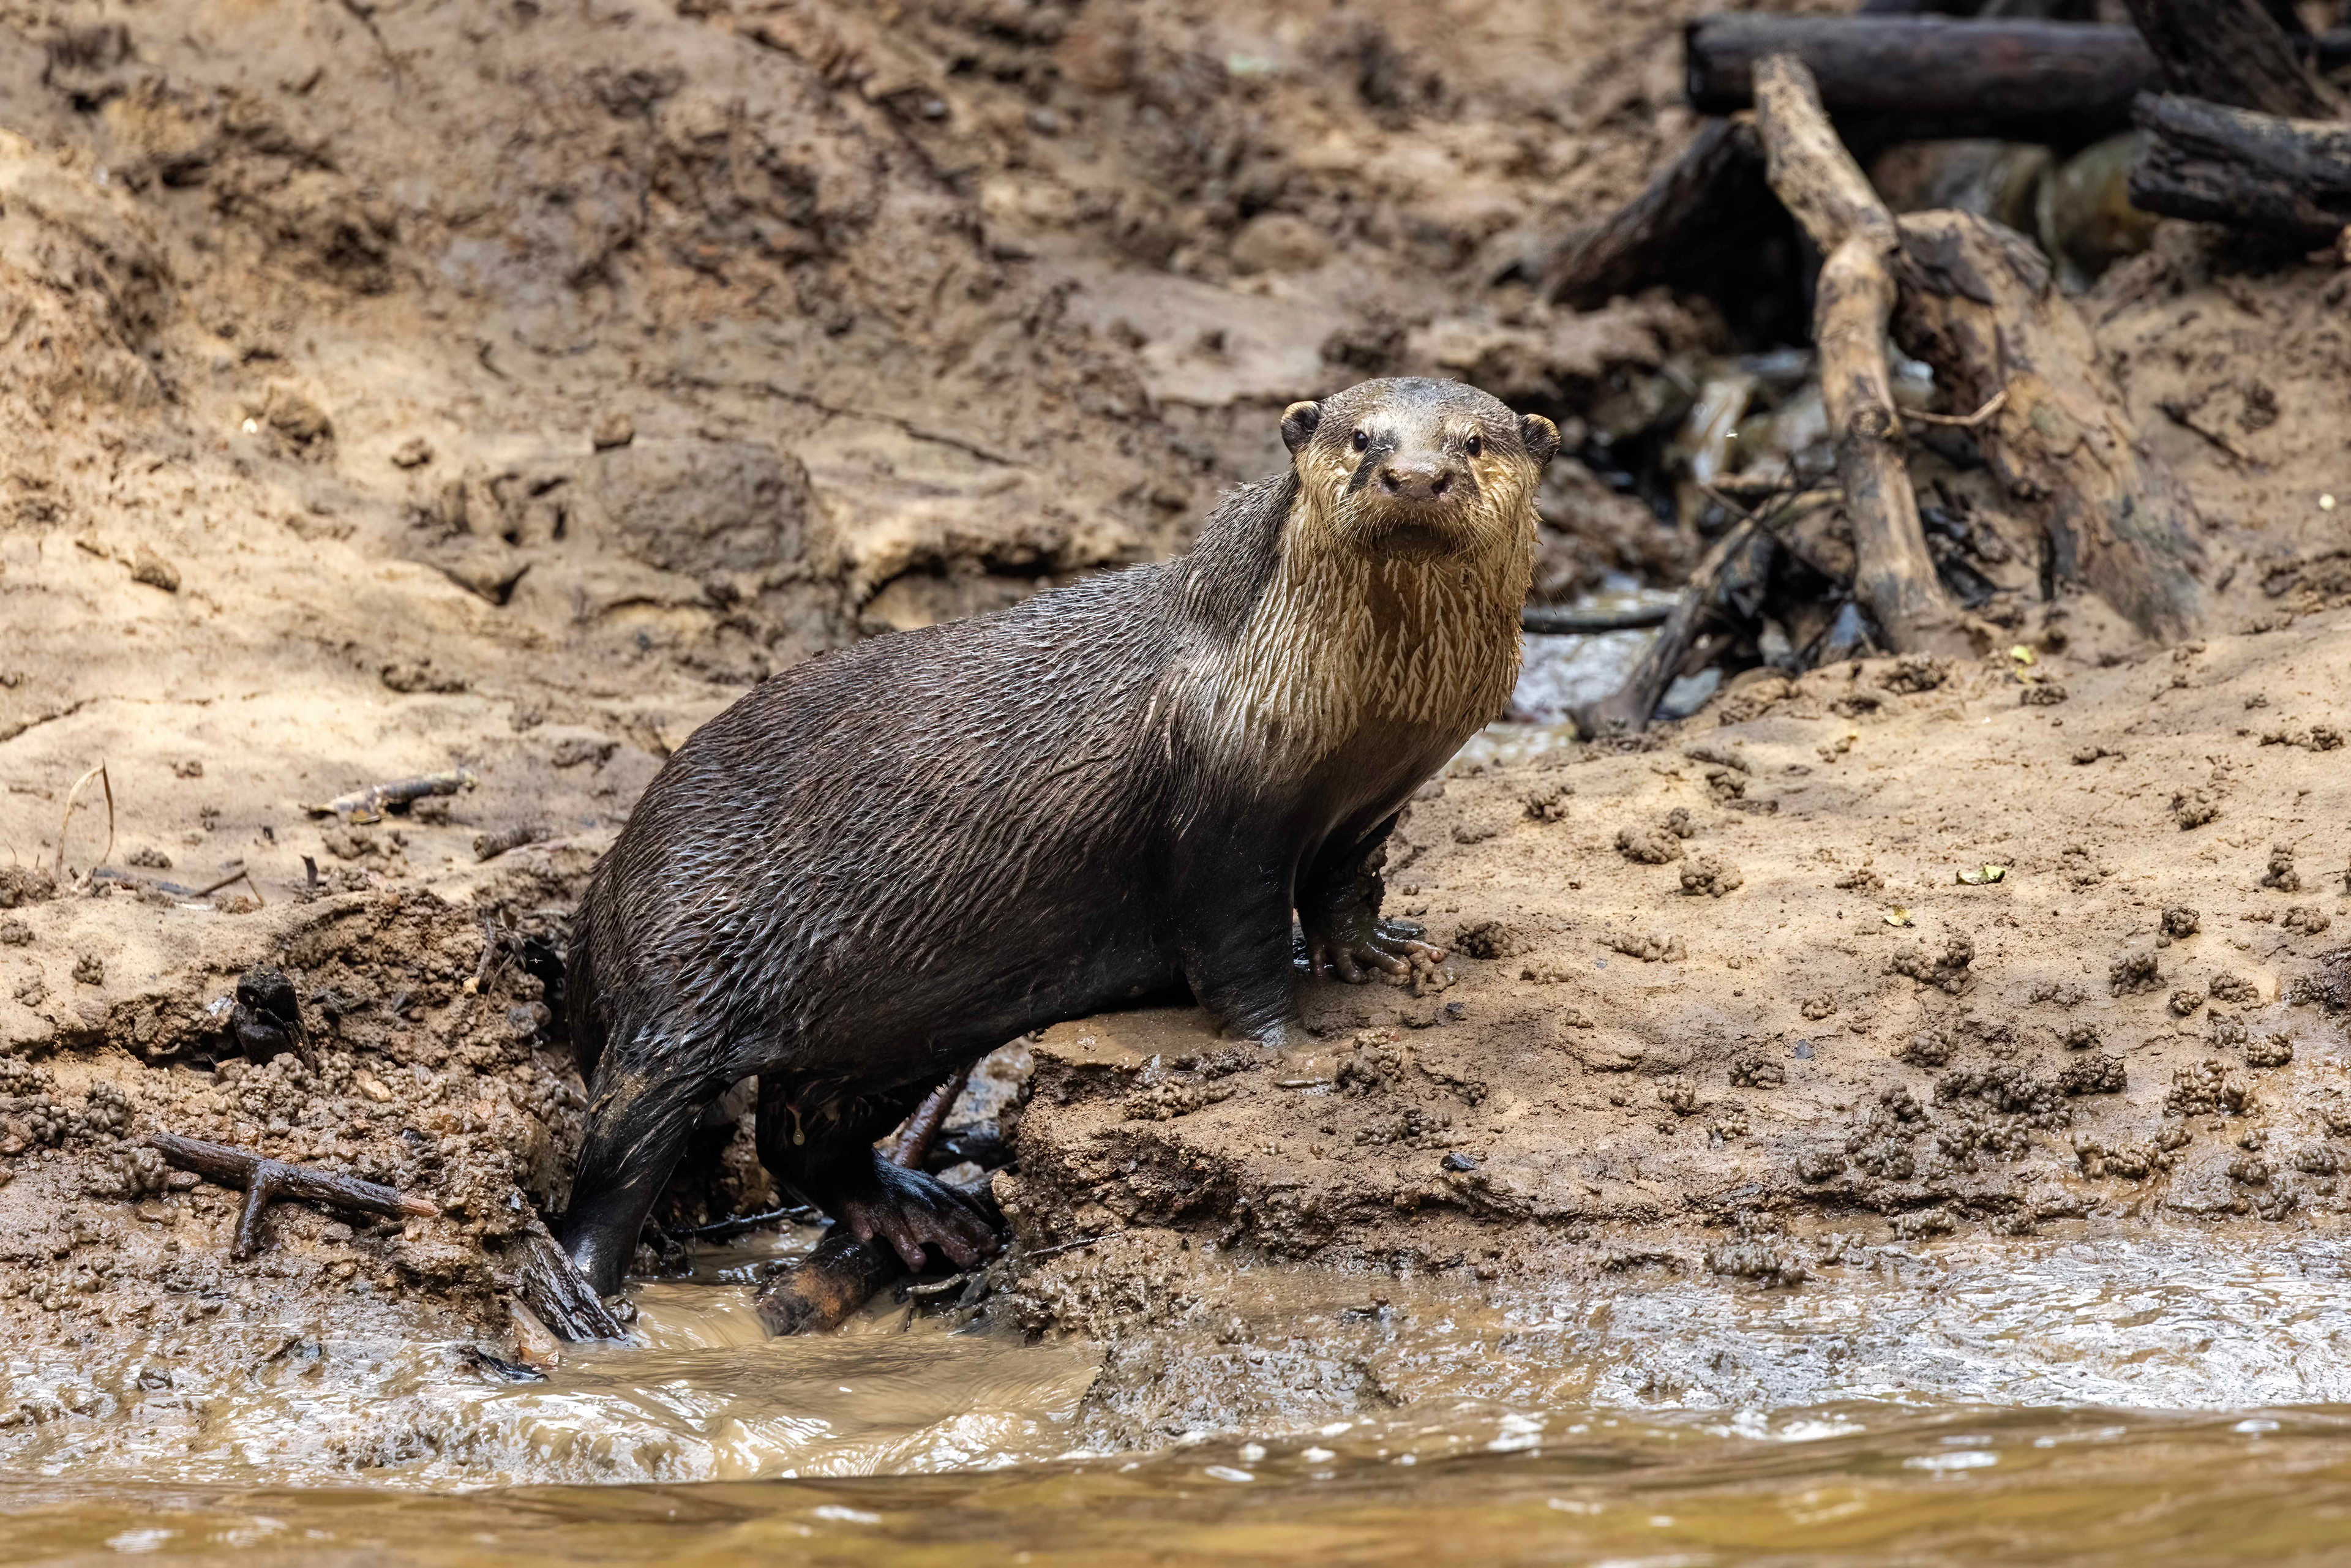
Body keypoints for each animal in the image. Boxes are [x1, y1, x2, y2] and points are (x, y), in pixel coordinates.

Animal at [559, 378, 1558, 1295]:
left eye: (1475, 441)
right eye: (1361, 436)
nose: (1414, 474)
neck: (1357, 718)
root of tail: (608, 873)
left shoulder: (1375, 801)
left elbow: (1346, 887)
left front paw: (1384, 955)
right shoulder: (1219, 816)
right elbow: (1238, 949)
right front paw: (1287, 1045)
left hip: (880, 1036)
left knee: (797, 1138)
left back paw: (921, 1215)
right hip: (677, 980)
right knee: (618, 1152)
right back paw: (580, 1294)